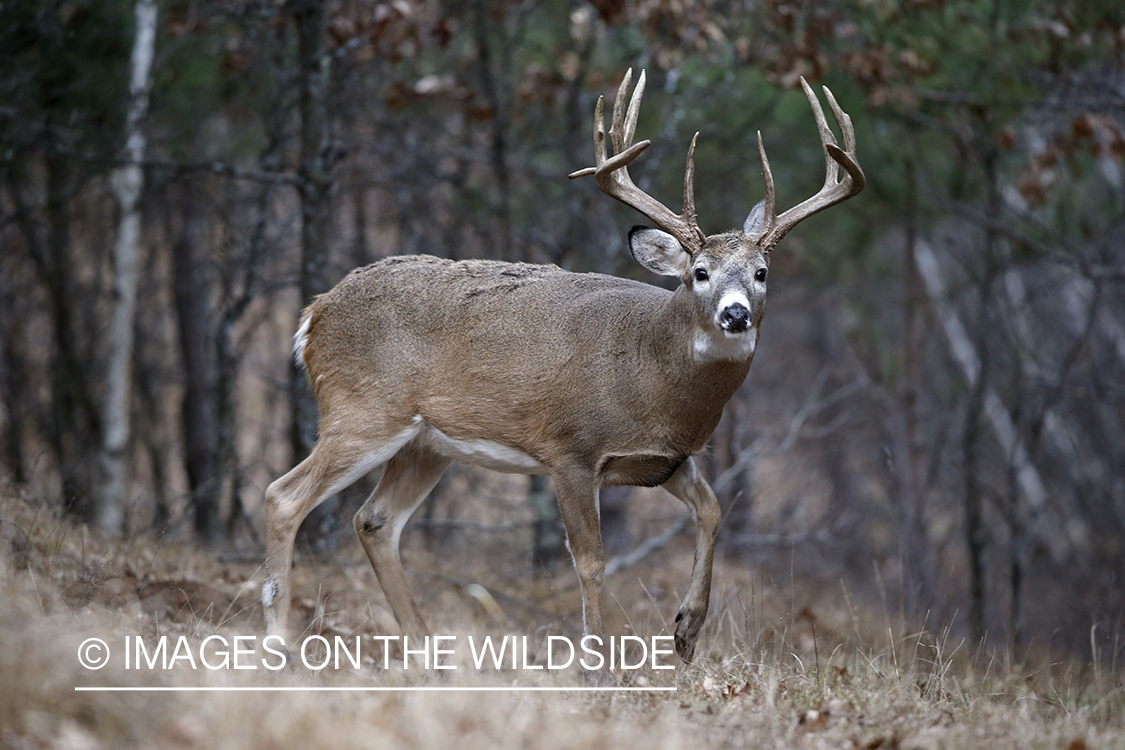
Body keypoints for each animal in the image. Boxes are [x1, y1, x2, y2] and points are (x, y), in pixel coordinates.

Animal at [261, 68, 859, 670]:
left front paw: (687, 630)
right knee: (283, 496)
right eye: (700, 272)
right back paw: (279, 642)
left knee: (375, 520)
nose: (735, 314)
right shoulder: (571, 450)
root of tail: (314, 313)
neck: (651, 375)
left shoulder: (664, 461)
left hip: (427, 443)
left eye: (762, 273)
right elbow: (590, 560)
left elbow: (712, 510)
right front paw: (598, 667)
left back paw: (427, 653)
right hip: (364, 409)